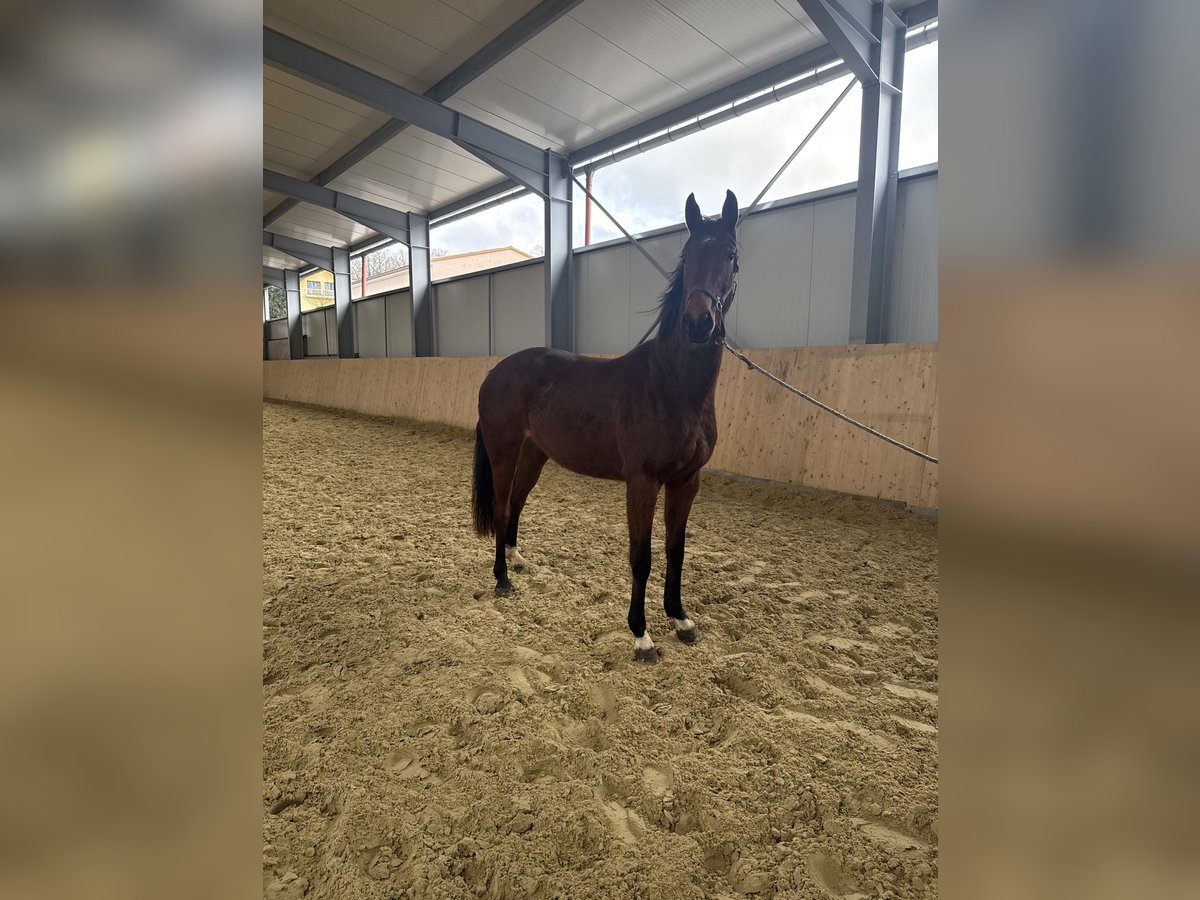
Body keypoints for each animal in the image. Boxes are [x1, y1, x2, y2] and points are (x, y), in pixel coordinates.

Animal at [470, 190, 734, 662]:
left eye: (730, 255)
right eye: (687, 256)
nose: (698, 322)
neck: (671, 385)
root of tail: (495, 372)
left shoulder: (687, 481)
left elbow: (676, 550)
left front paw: (680, 619)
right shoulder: (643, 482)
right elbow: (642, 557)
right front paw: (641, 636)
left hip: (534, 455)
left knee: (516, 503)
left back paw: (517, 561)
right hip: (504, 452)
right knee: (501, 508)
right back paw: (502, 579)